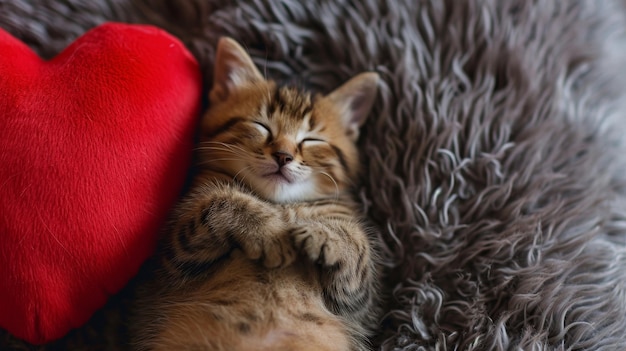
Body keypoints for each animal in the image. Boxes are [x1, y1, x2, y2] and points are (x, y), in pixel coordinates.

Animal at [132, 37, 380, 351]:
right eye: (261, 126)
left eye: (311, 140)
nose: (283, 156)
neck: (279, 203)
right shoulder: (171, 259)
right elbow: (222, 201)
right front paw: (269, 231)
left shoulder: (356, 303)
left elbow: (356, 244)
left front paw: (324, 235)